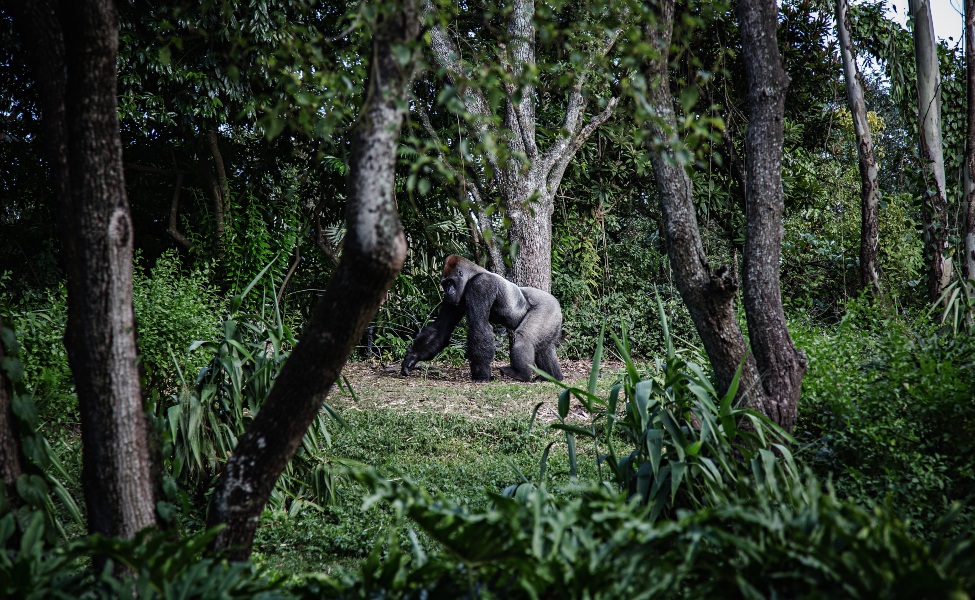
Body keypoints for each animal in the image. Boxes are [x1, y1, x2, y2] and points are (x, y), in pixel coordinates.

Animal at [400, 255, 564, 382]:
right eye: (444, 284)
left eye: (450, 282)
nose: (447, 291)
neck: (472, 274)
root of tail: (556, 303)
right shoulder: (453, 300)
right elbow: (440, 328)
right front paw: (412, 358)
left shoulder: (481, 285)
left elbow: (478, 326)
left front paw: (482, 375)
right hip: (553, 317)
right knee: (543, 347)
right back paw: (552, 376)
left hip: (547, 307)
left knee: (525, 337)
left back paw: (521, 374)